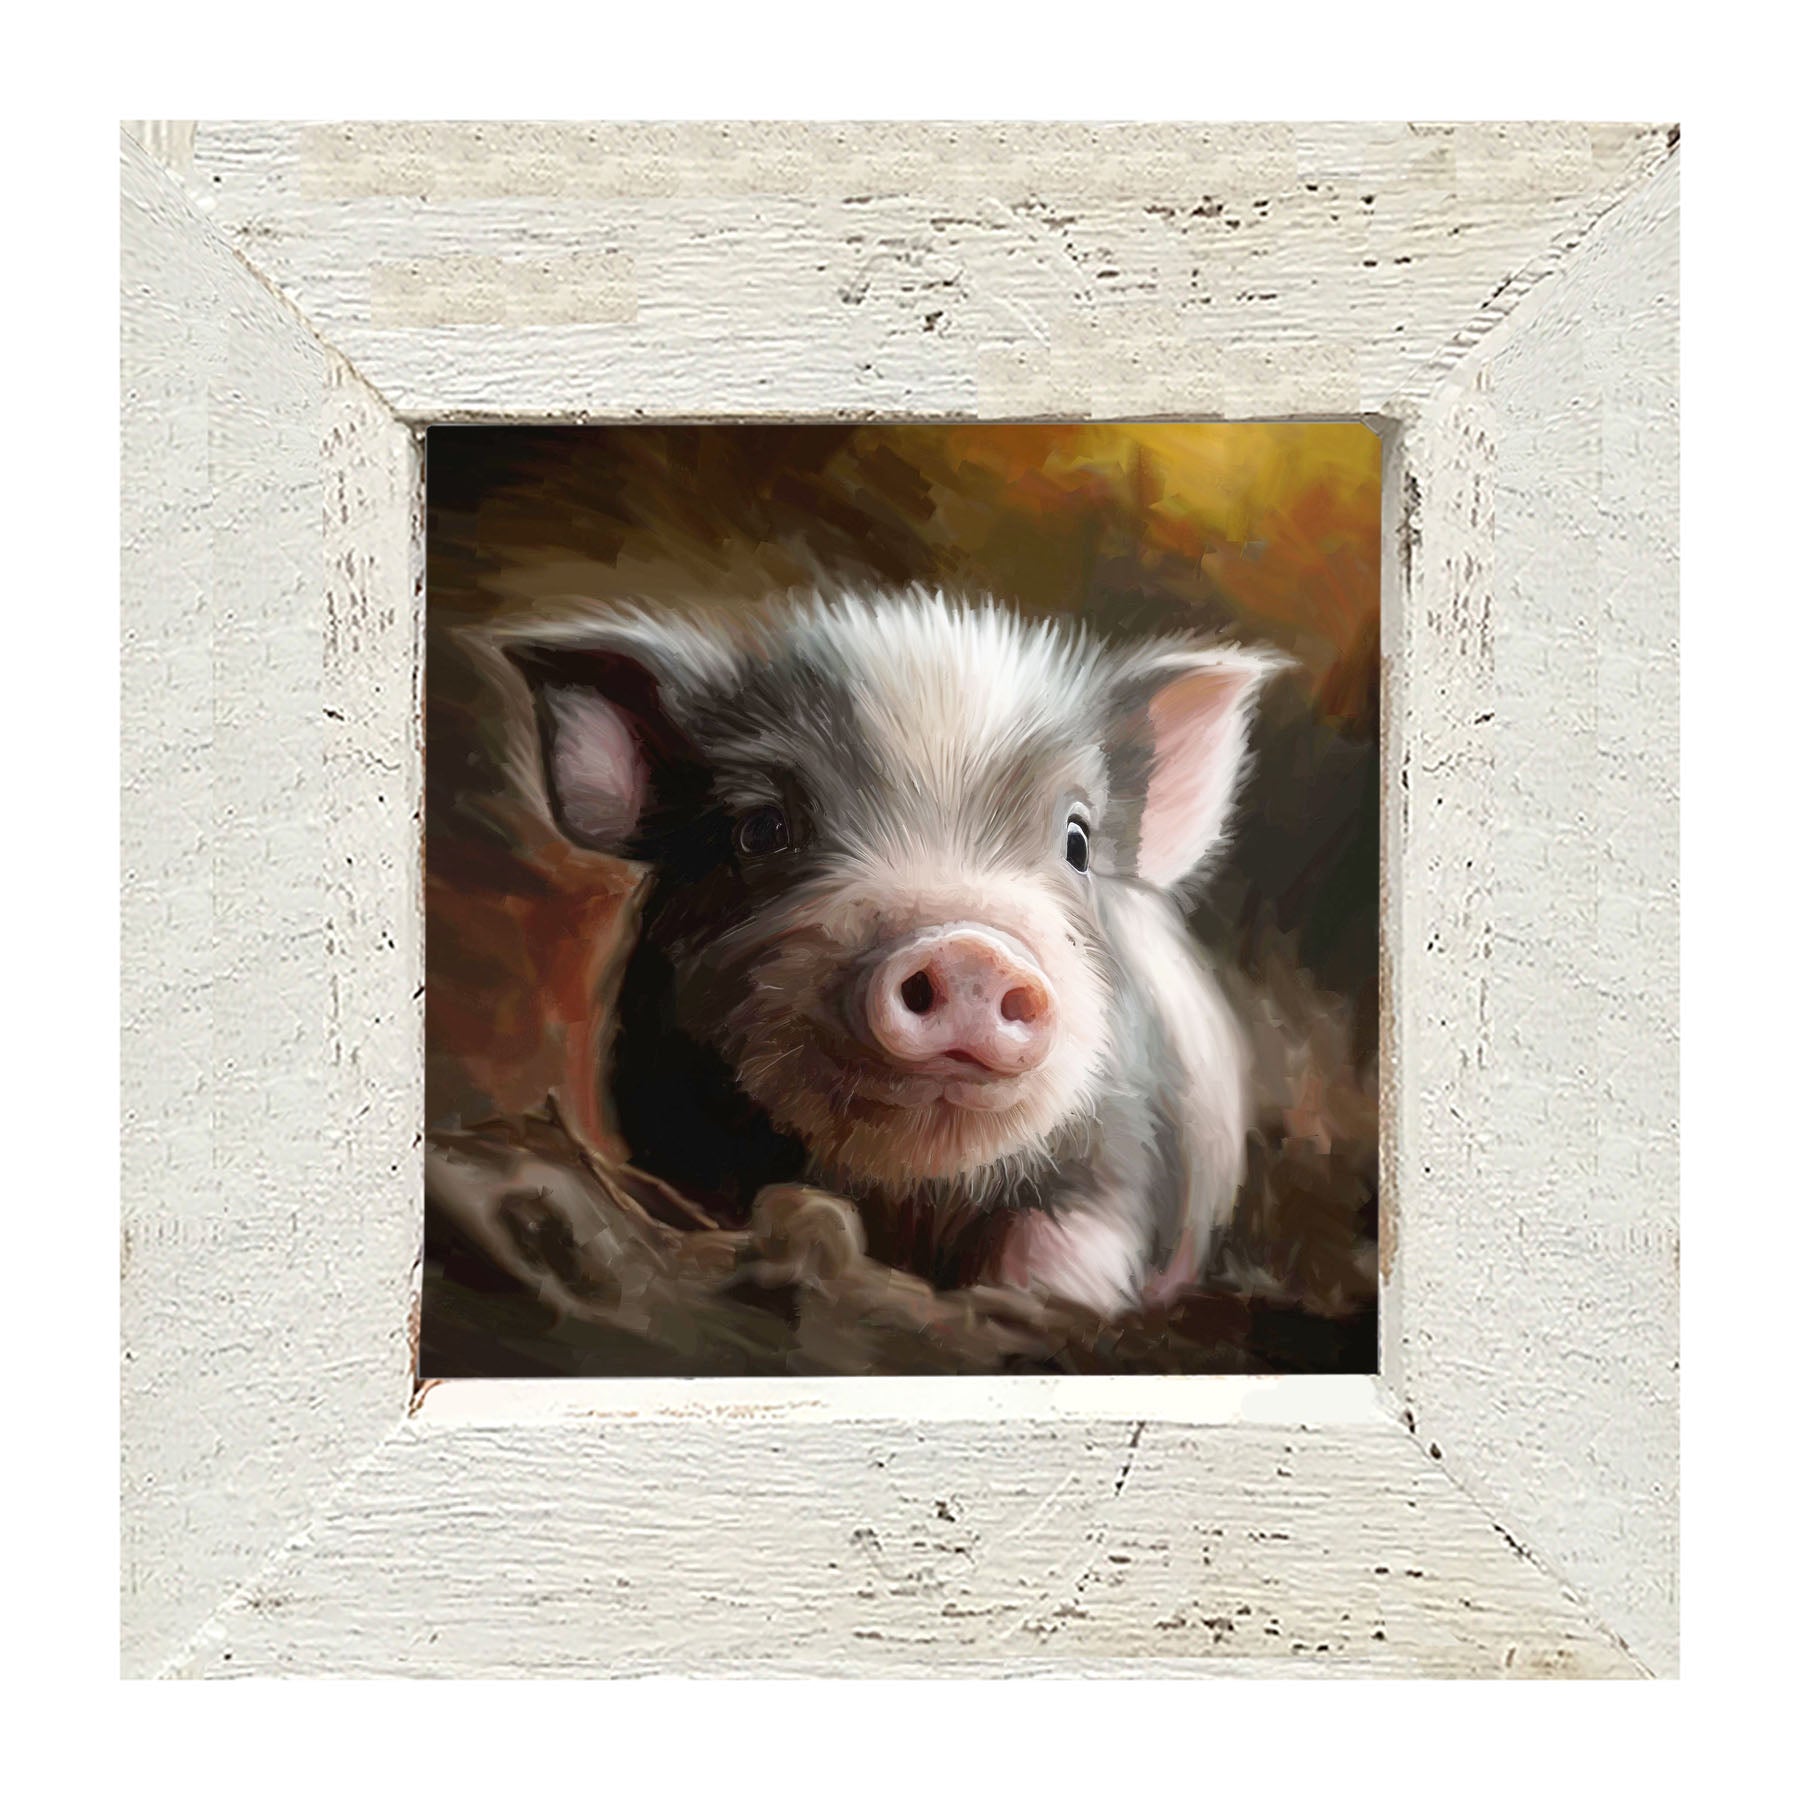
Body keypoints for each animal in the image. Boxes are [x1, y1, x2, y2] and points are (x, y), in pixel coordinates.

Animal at [503, 588, 1280, 1317]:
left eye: (1078, 842)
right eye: (761, 830)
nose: (968, 953)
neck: (909, 1199)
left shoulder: (1126, 1137)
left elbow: (1066, 1244)